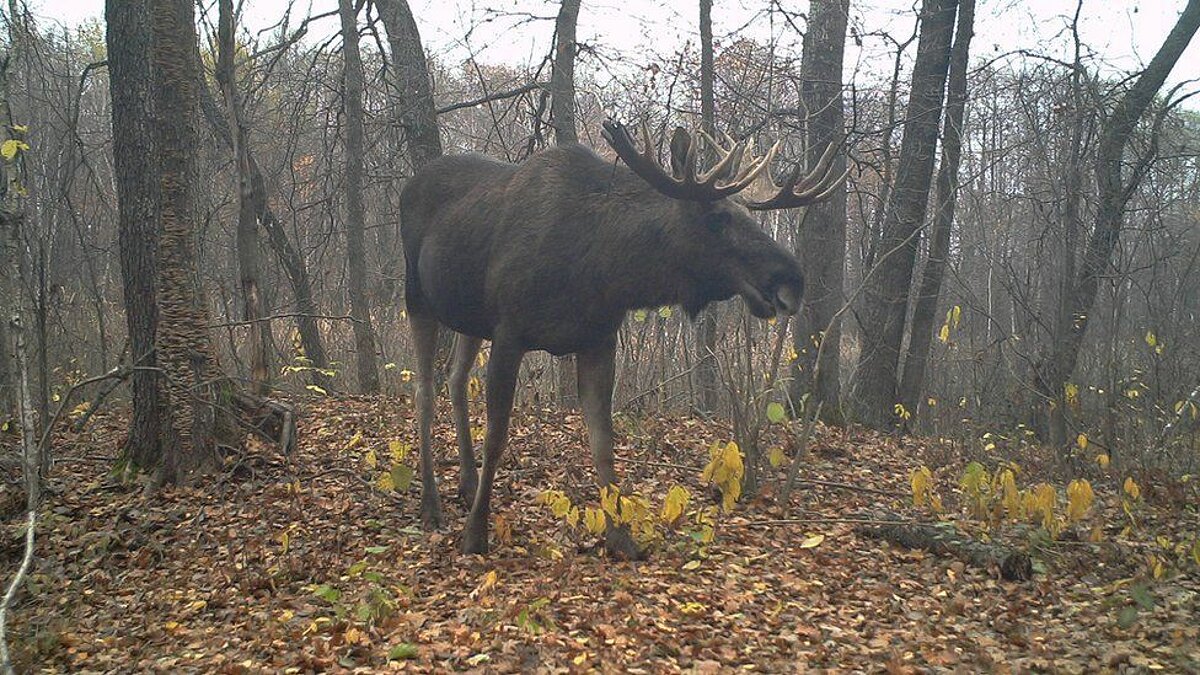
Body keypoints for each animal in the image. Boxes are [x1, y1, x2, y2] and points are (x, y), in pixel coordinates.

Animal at [400, 117, 844, 557]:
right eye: (718, 217)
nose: (793, 280)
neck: (604, 270)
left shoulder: (598, 340)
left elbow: (603, 442)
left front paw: (620, 537)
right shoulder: (509, 332)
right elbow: (496, 437)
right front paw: (475, 535)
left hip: (470, 318)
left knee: (455, 380)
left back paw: (466, 483)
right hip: (417, 296)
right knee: (424, 392)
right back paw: (431, 504)